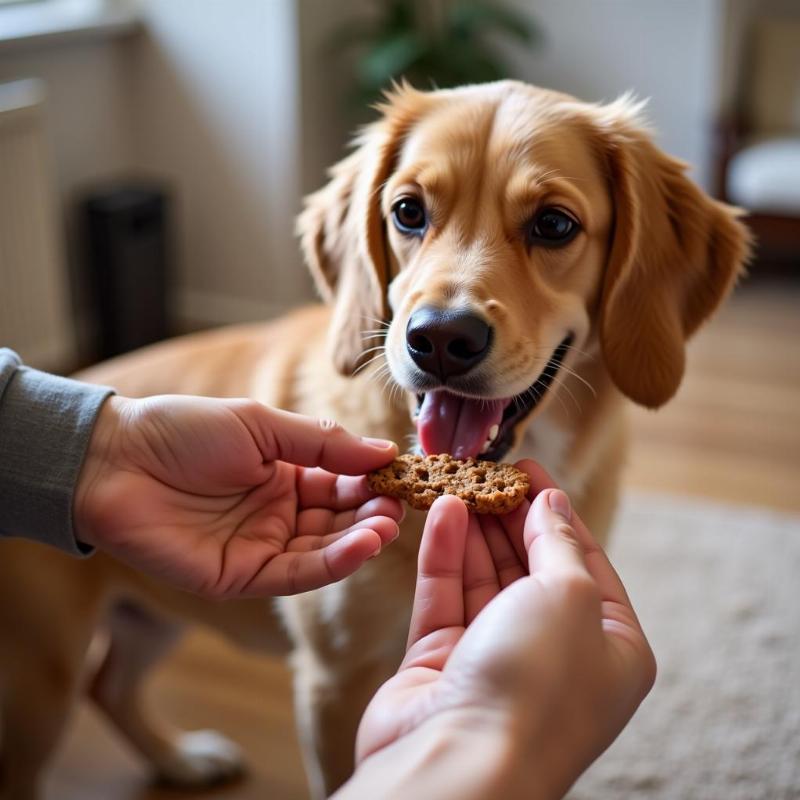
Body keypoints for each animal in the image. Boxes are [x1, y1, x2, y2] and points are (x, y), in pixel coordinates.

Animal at [0, 83, 752, 800]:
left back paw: (178, 759)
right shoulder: (336, 684)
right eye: (409, 212)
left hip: (151, 611)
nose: (440, 339)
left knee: (110, 683)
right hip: (37, 681)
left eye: (554, 224)